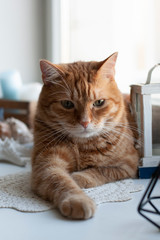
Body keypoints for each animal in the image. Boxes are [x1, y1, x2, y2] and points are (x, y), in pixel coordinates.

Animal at [31, 52, 139, 219]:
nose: (85, 122)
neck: (82, 146)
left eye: (99, 102)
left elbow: (100, 171)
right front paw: (77, 200)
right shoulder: (45, 164)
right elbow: (60, 180)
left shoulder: (129, 165)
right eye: (67, 104)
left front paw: (78, 177)